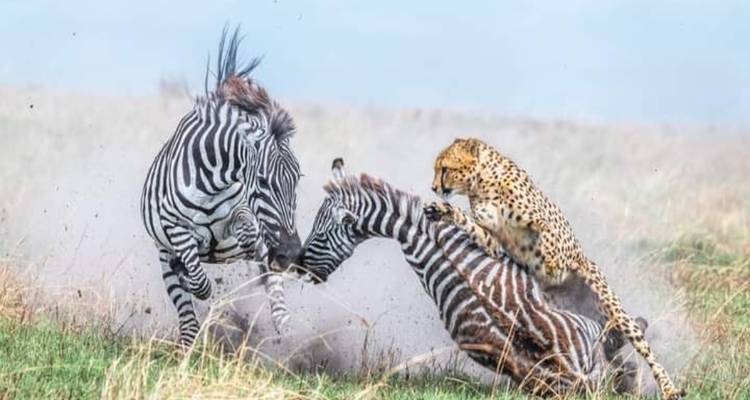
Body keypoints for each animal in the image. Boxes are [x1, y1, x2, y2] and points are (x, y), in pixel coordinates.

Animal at [141, 28, 302, 347]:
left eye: (298, 180)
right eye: (262, 181)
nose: (290, 252)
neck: (211, 181)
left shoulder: (242, 212)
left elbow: (247, 230)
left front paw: (251, 246)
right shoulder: (175, 228)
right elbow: (199, 282)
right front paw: (191, 276)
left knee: (276, 296)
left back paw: (286, 332)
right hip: (163, 255)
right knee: (187, 317)